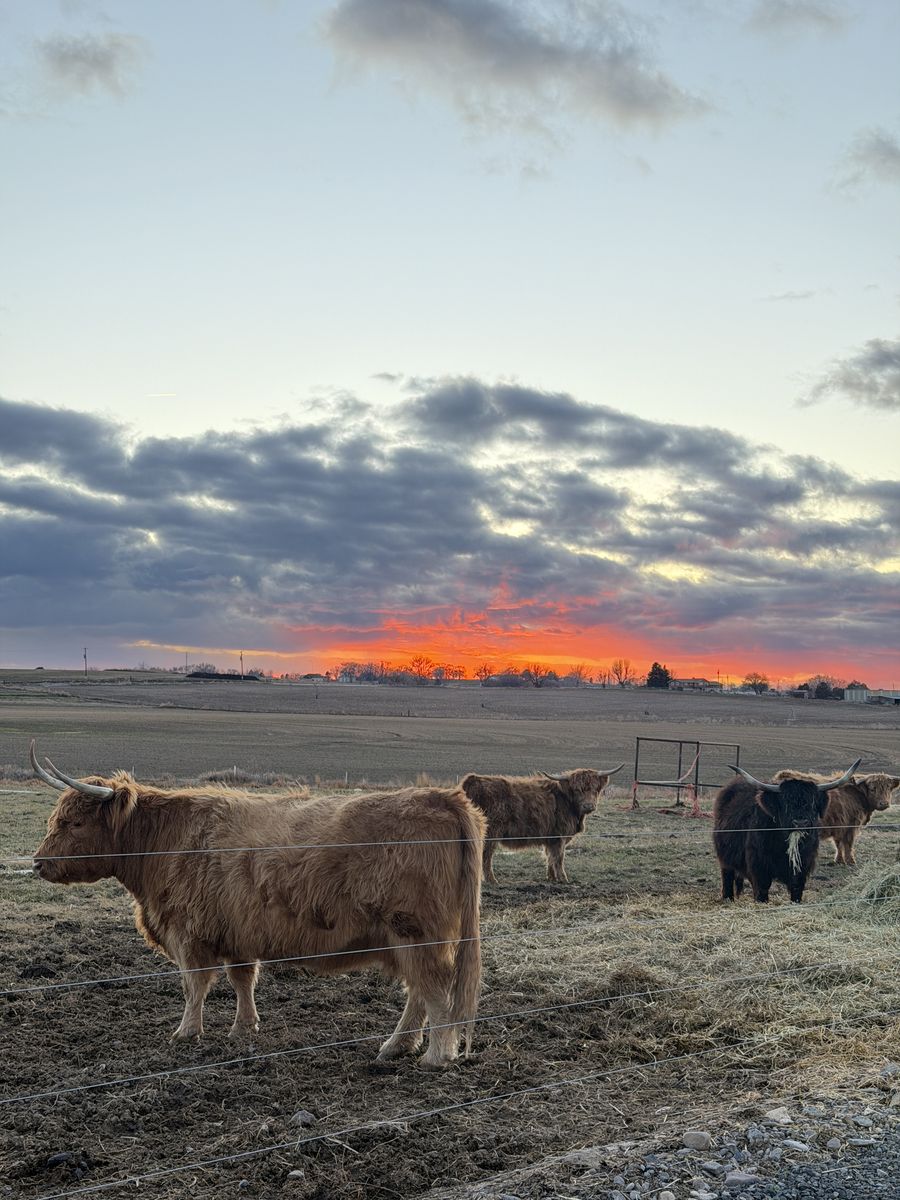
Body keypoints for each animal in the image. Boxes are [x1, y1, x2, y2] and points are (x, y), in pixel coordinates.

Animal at [29, 742, 485, 1068]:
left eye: (74, 822)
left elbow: (194, 986)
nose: (38, 862)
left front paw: (186, 1033)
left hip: (415, 932)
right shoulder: (236, 932)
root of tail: (443, 798)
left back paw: (436, 1056)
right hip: (407, 938)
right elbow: (242, 980)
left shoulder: (188, 934)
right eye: (56, 818)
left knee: (435, 991)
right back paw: (397, 1046)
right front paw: (244, 1028)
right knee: (419, 992)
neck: (162, 842)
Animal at [459, 765, 624, 884]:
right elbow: (559, 857)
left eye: (596, 789)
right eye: (577, 790)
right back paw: (492, 880)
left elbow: (550, 856)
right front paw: (563, 879)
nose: (589, 806)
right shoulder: (560, 836)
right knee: (486, 855)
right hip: (491, 833)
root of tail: (472, 781)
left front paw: (551, 878)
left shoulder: (551, 837)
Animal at [713, 758, 861, 904]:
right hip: (725, 857)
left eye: (812, 803)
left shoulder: (802, 865)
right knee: (727, 876)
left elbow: (796, 889)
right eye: (785, 803)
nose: (800, 823)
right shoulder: (759, 866)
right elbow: (762, 889)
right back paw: (728, 898)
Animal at [772, 768, 900, 866]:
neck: (857, 795)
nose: (884, 803)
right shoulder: (850, 825)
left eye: (888, 788)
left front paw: (839, 860)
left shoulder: (839, 826)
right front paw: (851, 861)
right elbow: (848, 844)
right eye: (873, 788)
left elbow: (839, 844)